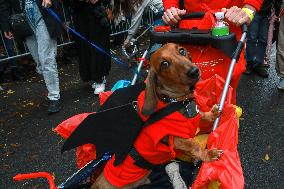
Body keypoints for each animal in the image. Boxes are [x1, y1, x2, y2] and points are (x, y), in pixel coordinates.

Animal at [92, 43, 223, 189]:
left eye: (182, 50)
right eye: (164, 64)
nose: (194, 71)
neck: (177, 102)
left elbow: (203, 115)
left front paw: (212, 114)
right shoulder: (178, 140)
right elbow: (195, 146)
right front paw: (209, 154)